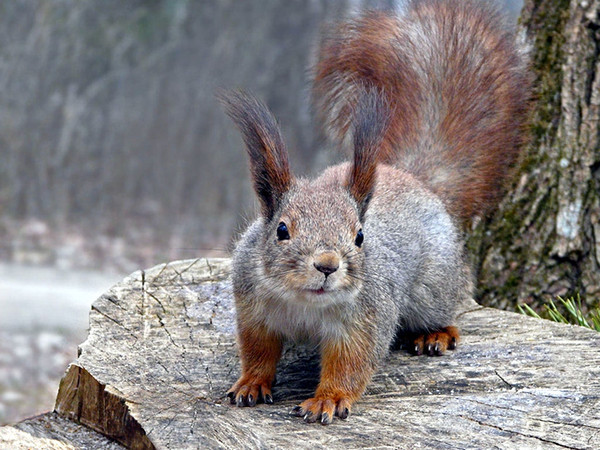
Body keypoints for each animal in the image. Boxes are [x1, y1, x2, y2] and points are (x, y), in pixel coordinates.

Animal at [220, 0, 528, 426]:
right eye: (281, 230)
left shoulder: (366, 318)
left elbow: (351, 363)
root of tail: (415, 179)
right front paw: (250, 383)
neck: (305, 305)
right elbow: (258, 351)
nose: (328, 265)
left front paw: (328, 399)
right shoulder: (253, 308)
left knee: (447, 306)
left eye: (360, 236)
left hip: (434, 286)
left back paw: (437, 334)